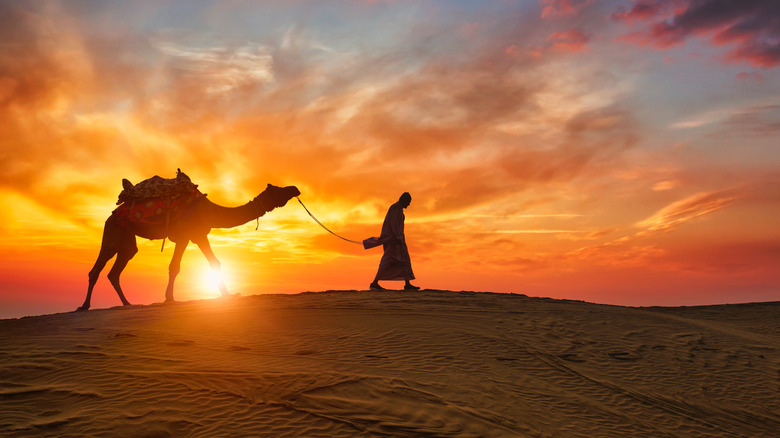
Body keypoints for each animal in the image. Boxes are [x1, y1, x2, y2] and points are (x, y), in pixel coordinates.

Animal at [77, 183, 300, 310]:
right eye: (278, 190)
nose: (295, 189)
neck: (211, 211)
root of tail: (112, 215)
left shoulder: (199, 235)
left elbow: (215, 263)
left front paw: (228, 295)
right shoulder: (186, 235)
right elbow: (175, 267)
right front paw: (169, 299)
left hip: (127, 238)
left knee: (117, 268)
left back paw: (127, 304)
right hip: (113, 230)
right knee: (98, 266)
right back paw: (84, 306)